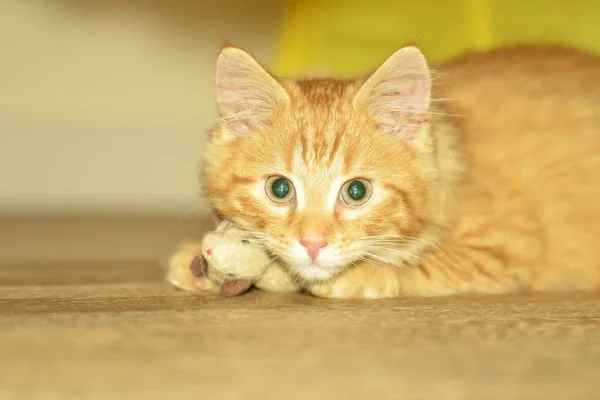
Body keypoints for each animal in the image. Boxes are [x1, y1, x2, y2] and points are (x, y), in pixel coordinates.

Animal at [168, 45, 600, 298]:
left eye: (357, 192)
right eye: (279, 189)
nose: (313, 244)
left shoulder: (508, 245)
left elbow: (427, 264)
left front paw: (361, 275)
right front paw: (197, 261)